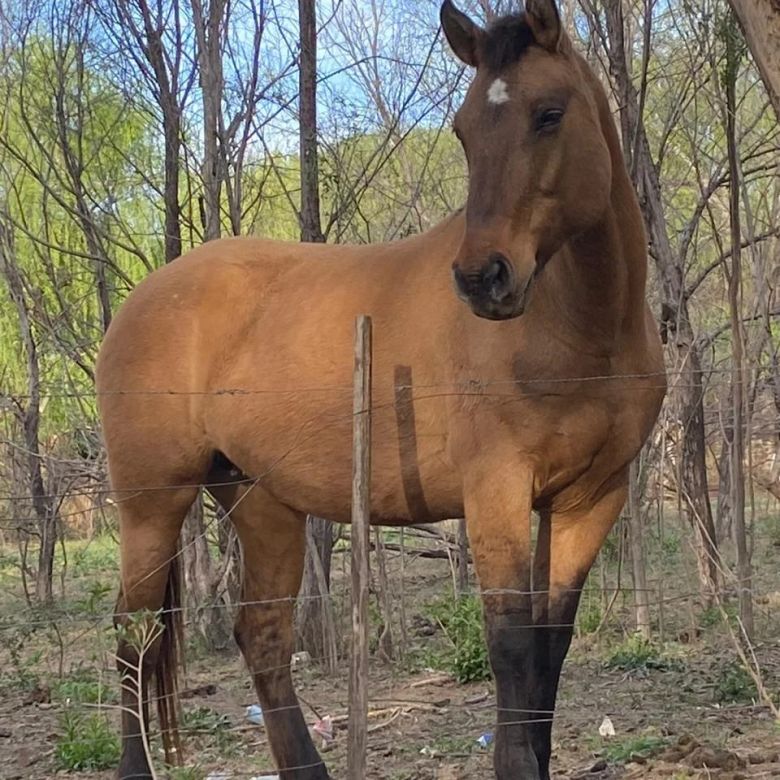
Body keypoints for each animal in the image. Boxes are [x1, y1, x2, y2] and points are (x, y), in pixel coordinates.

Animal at [96, 1, 664, 780]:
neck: (583, 330)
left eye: (549, 114)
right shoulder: (497, 492)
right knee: (136, 635)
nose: (483, 278)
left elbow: (550, 650)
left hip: (259, 500)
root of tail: (144, 297)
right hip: (152, 504)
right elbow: (512, 647)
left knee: (261, 634)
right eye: (464, 129)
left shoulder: (590, 498)